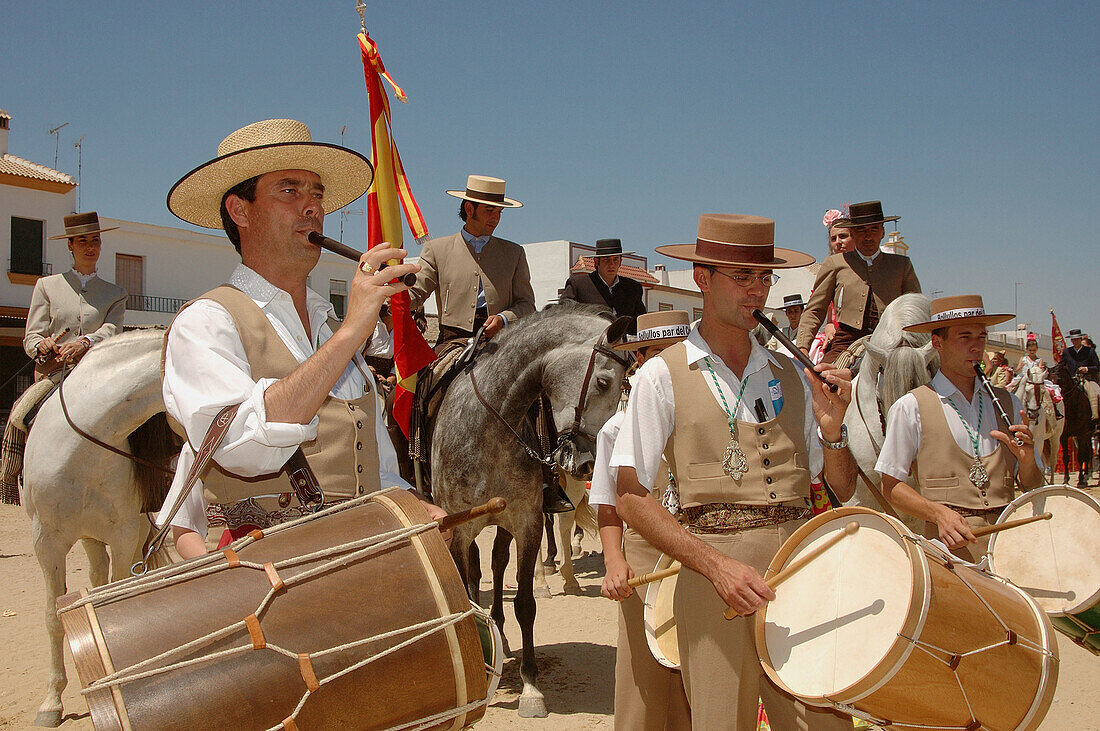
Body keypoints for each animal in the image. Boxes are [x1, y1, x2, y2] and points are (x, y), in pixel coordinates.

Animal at [20, 329, 178, 725]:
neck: (79, 447)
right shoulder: (46, 541)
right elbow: (53, 616)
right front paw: (51, 702)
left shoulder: (125, 533)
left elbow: (117, 593)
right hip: (89, 536)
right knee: (94, 574)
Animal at [429, 303, 629, 716]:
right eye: (604, 382)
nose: (588, 463)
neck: (488, 425)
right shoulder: (458, 529)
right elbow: (465, 598)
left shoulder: (526, 521)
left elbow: (524, 603)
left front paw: (531, 687)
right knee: (476, 574)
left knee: (497, 562)